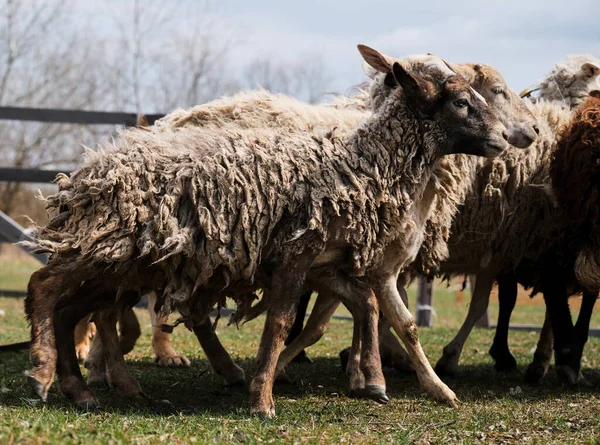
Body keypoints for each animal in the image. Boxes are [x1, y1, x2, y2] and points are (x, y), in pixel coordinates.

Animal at [23, 43, 508, 414]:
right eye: (462, 102)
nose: (504, 139)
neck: (359, 162)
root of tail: (87, 170)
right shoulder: (297, 254)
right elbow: (281, 322)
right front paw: (263, 400)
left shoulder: (326, 263)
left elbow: (366, 306)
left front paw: (372, 380)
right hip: (103, 245)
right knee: (44, 286)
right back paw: (44, 374)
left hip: (122, 261)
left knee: (72, 308)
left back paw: (82, 389)